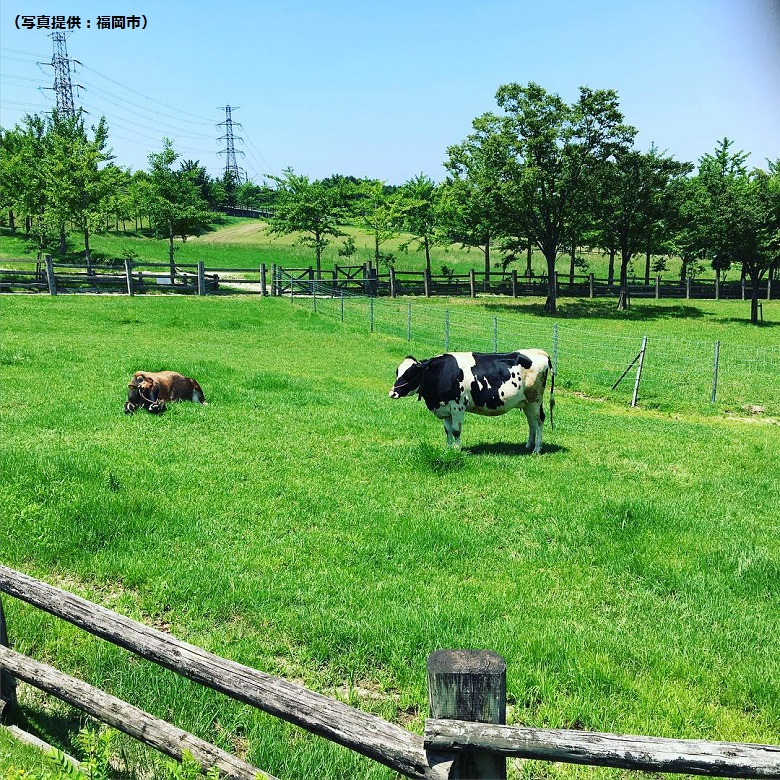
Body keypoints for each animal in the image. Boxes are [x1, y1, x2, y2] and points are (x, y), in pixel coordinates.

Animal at [390, 350, 556, 454]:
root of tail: (539, 352)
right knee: (531, 422)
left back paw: (537, 449)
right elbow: (448, 430)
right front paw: (448, 449)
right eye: (397, 372)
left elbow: (456, 430)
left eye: (410, 373)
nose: (393, 392)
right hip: (526, 402)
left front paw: (457, 450)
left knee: (539, 421)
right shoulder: (445, 408)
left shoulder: (457, 406)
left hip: (535, 399)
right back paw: (529, 445)